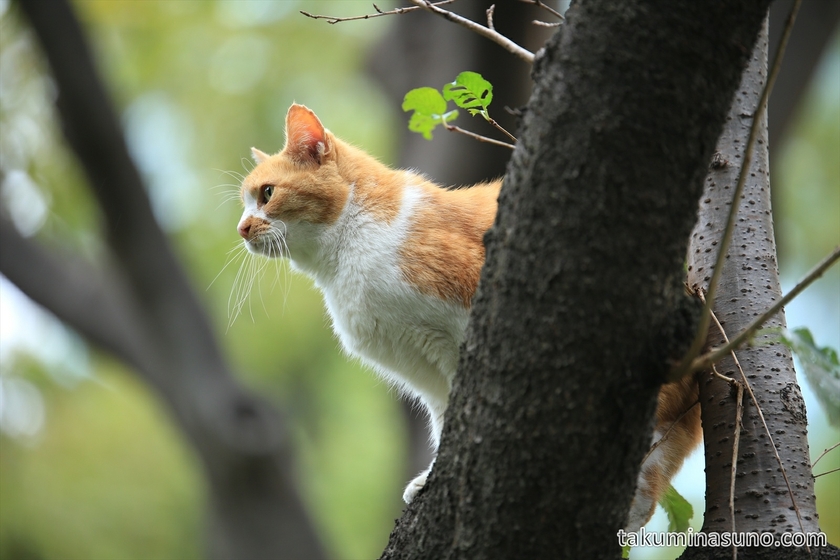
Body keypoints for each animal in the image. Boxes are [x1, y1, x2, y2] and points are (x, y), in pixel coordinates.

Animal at [233, 104, 700, 528]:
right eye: (244, 203)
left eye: (267, 194)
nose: (242, 228)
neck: (347, 252)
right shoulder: (423, 370)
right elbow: (445, 422)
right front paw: (430, 479)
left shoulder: (461, 330)